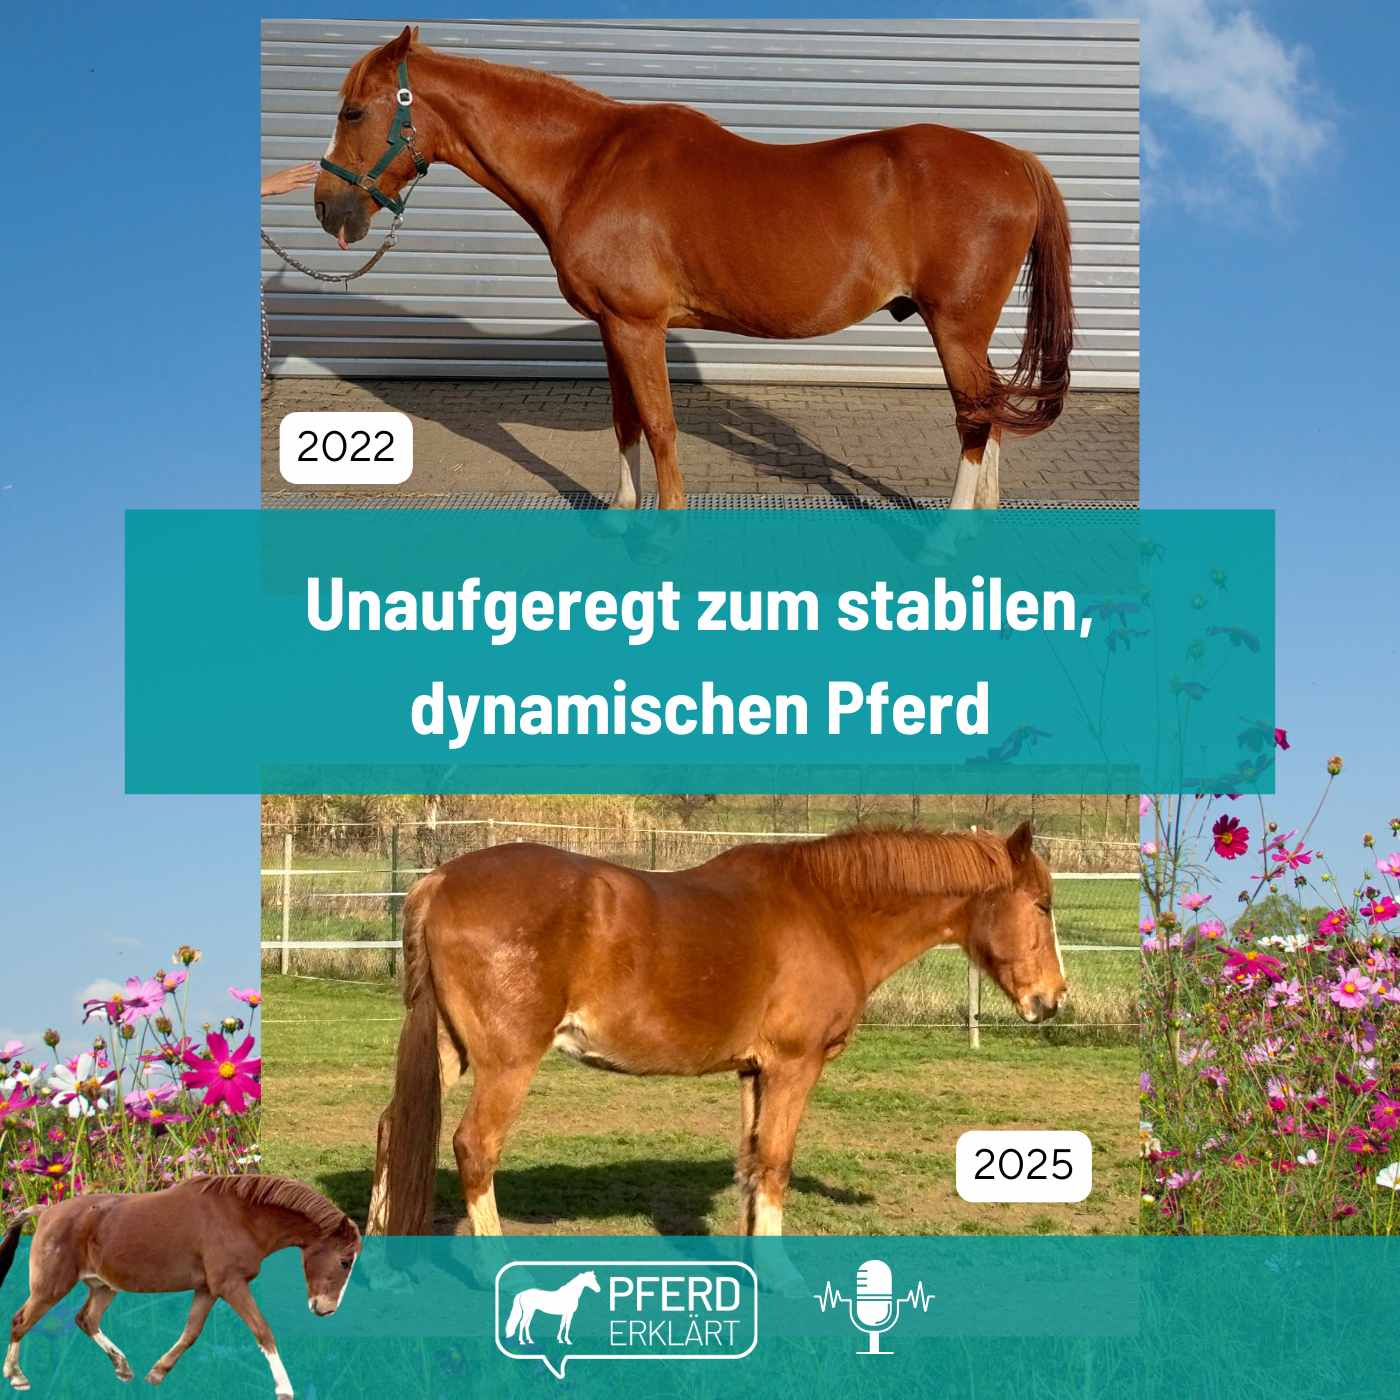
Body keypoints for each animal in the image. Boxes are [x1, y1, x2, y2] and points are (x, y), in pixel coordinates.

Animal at [1, 1176, 361, 1398]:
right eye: (345, 1262)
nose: (326, 1309)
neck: (242, 1217)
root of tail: (45, 1212)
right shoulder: (231, 1284)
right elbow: (262, 1330)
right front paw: (284, 1388)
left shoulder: (208, 1289)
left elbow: (191, 1333)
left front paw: (157, 1373)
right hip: (50, 1287)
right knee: (21, 1321)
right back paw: (16, 1376)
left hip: (103, 1287)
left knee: (85, 1319)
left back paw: (123, 1368)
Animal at [314, 27, 1074, 510]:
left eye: (353, 111)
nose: (328, 208)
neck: (588, 164)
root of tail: (1016, 161)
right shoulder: (613, 328)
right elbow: (625, 421)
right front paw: (623, 510)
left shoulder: (638, 325)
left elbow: (659, 427)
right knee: (992, 413)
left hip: (954, 327)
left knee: (974, 420)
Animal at [366, 821, 1066, 1238]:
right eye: (1042, 905)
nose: (1053, 999)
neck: (827, 910)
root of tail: (439, 880)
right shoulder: (793, 1066)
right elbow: (777, 1163)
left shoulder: (754, 1071)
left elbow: (752, 1164)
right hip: (508, 1062)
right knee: (474, 1148)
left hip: (450, 1049)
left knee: (395, 1124)